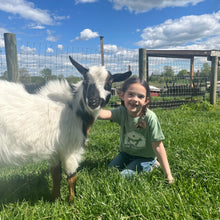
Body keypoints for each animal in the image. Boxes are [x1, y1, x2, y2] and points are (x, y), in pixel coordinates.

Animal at [0, 56, 131, 201]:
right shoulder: (70, 147)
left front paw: (56, 199)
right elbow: (71, 177)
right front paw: (72, 201)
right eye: (85, 81)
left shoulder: (54, 149)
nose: (93, 102)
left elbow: (56, 174)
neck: (74, 107)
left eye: (109, 83)